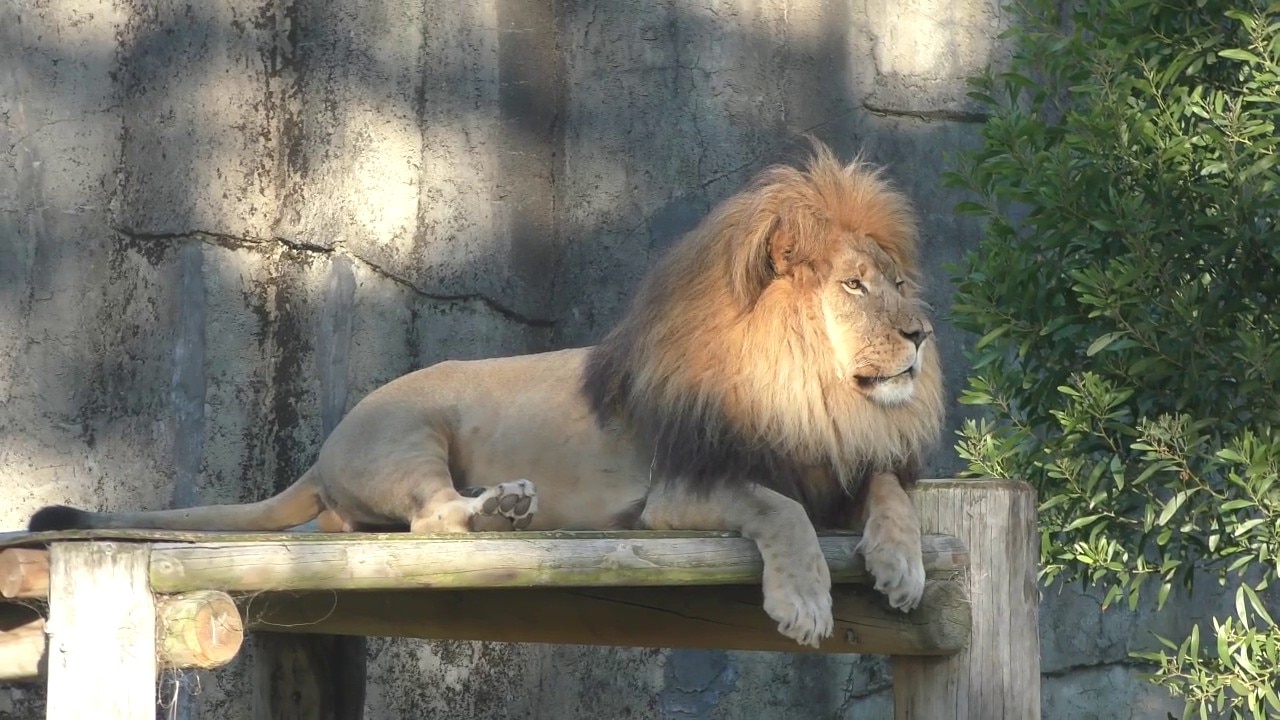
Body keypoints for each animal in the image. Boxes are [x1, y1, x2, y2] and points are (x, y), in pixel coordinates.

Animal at [28, 142, 945, 648]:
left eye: (901, 282)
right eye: (856, 286)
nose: (921, 335)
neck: (814, 391)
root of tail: (323, 451)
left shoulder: (835, 460)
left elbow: (890, 491)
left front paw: (901, 567)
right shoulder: (687, 487)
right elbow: (778, 511)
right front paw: (805, 604)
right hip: (412, 432)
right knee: (433, 519)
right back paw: (503, 508)